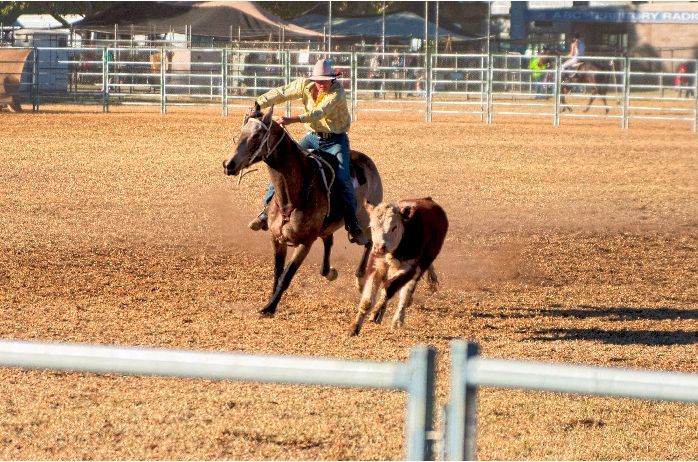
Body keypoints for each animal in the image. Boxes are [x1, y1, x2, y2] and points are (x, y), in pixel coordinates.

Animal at [222, 106, 383, 316]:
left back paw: (360, 278)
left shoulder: (305, 244)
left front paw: (269, 307)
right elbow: (278, 273)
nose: (228, 164)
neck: (292, 197)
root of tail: (369, 163)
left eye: (257, 135)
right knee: (329, 240)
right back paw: (330, 272)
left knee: (369, 242)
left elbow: (286, 276)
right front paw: (271, 302)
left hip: (366, 221)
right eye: (242, 131)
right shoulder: (277, 239)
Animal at [349, 197, 448, 336]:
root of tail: (428, 199)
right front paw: (355, 327)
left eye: (394, 227)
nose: (379, 248)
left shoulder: (409, 269)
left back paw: (397, 319)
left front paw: (376, 312)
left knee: (406, 292)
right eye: (372, 227)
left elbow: (389, 288)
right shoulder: (376, 266)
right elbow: (367, 300)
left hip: (420, 267)